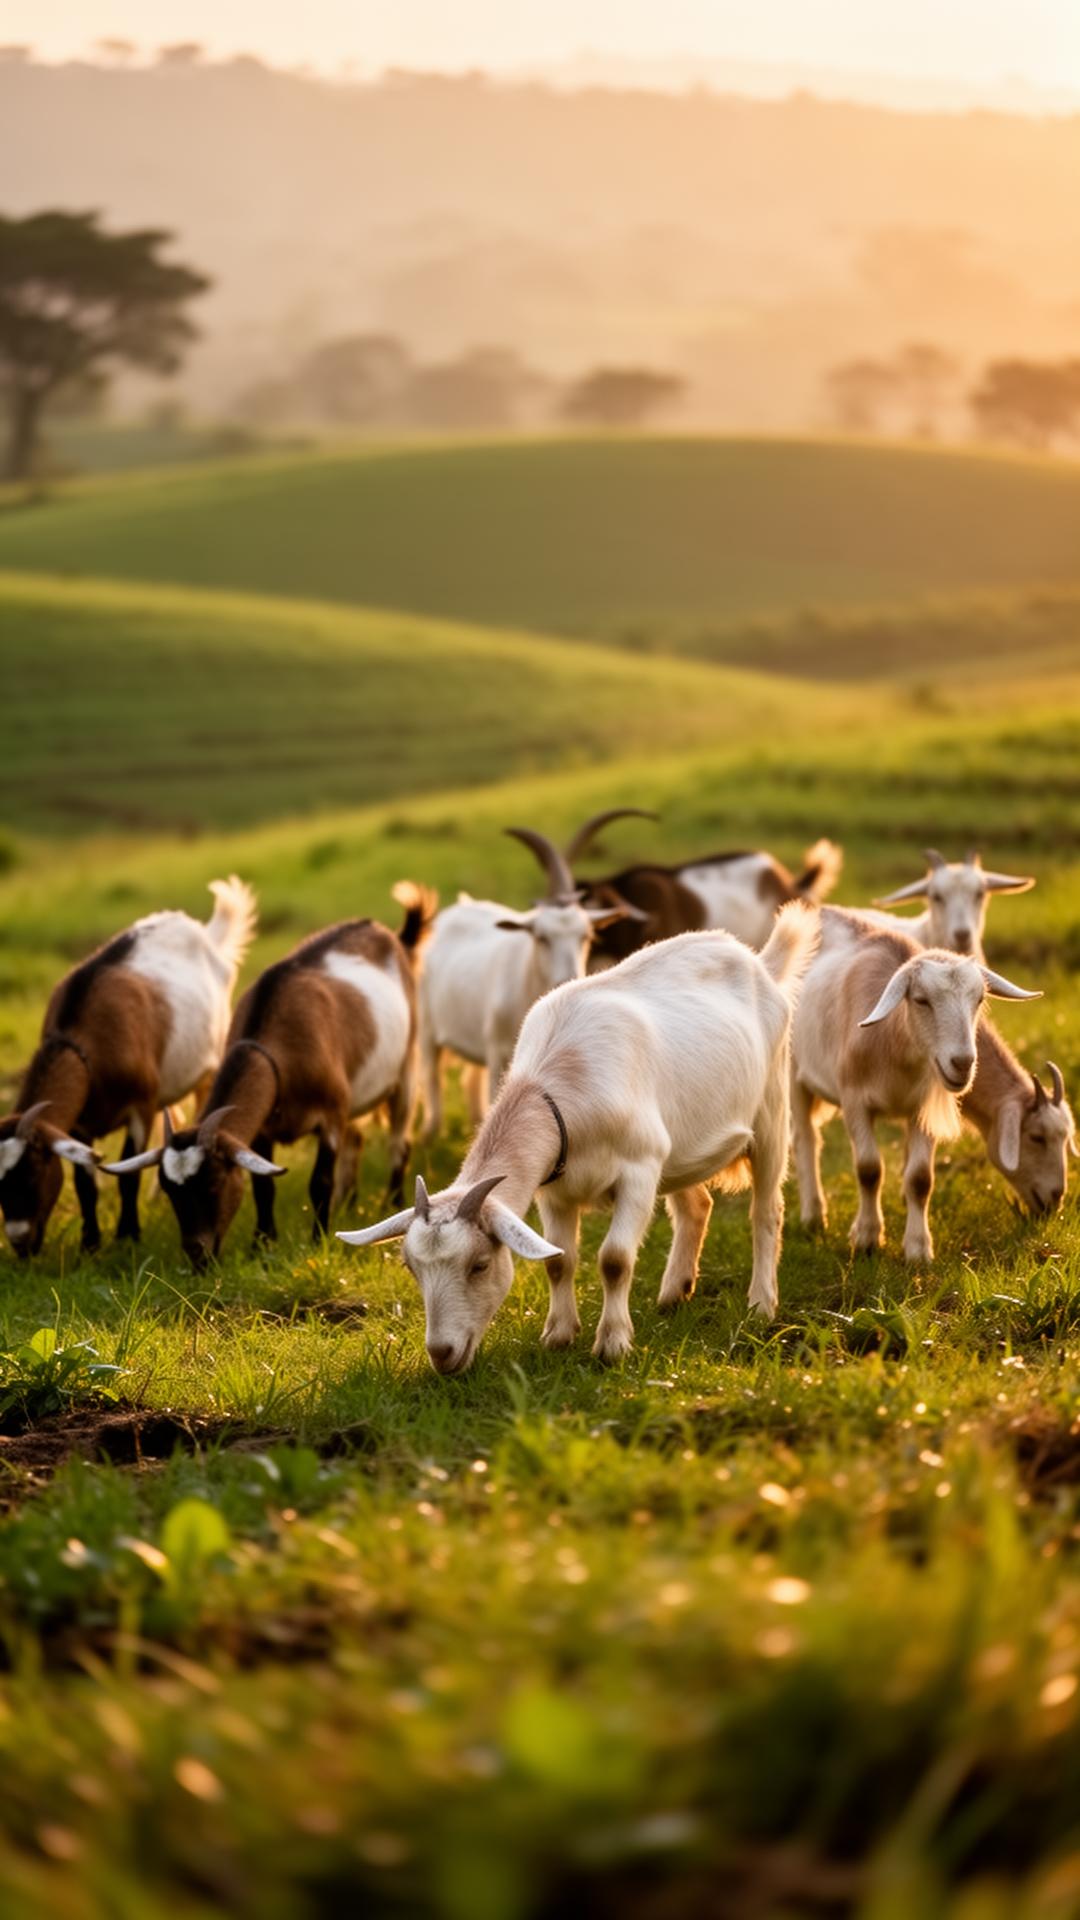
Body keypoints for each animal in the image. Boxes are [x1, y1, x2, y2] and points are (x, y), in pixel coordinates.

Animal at [0, 878, 256, 1258]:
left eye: (32, 1170)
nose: (20, 1242)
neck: (86, 1040)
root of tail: (204, 933)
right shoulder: (81, 1123)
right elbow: (85, 1182)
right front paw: (90, 1243)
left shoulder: (140, 1107)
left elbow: (127, 1174)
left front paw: (128, 1235)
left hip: (207, 1068)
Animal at [105, 884, 434, 1270]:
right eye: (170, 1189)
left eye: (213, 1182)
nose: (198, 1255)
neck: (281, 1046)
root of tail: (392, 937)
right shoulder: (265, 1128)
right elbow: (264, 1187)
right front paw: (261, 1244)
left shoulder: (331, 1114)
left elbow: (319, 1181)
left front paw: (317, 1238)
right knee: (357, 1139)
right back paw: (348, 1204)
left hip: (406, 1068)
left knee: (399, 1141)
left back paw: (391, 1201)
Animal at [340, 902, 820, 1373]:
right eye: (411, 1268)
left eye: (479, 1265)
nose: (442, 1354)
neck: (560, 1084)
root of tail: (759, 961)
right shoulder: (555, 1186)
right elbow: (560, 1261)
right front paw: (558, 1336)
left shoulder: (639, 1171)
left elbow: (614, 1259)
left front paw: (613, 1345)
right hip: (680, 1148)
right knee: (696, 1206)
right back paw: (672, 1295)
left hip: (771, 1109)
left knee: (766, 1211)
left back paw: (760, 1305)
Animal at [416, 827, 629, 1137]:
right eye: (541, 937)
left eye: (587, 936)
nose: (566, 979)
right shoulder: (500, 1053)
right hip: (427, 1026)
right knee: (432, 1074)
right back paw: (430, 1132)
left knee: (470, 1079)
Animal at [790, 908, 1039, 1263]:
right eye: (921, 1000)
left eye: (979, 999)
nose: (962, 1062)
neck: (895, 1047)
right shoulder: (855, 1101)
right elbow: (868, 1169)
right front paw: (866, 1239)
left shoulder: (923, 1107)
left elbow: (920, 1179)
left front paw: (918, 1249)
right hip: (793, 1071)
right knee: (806, 1139)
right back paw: (813, 1216)